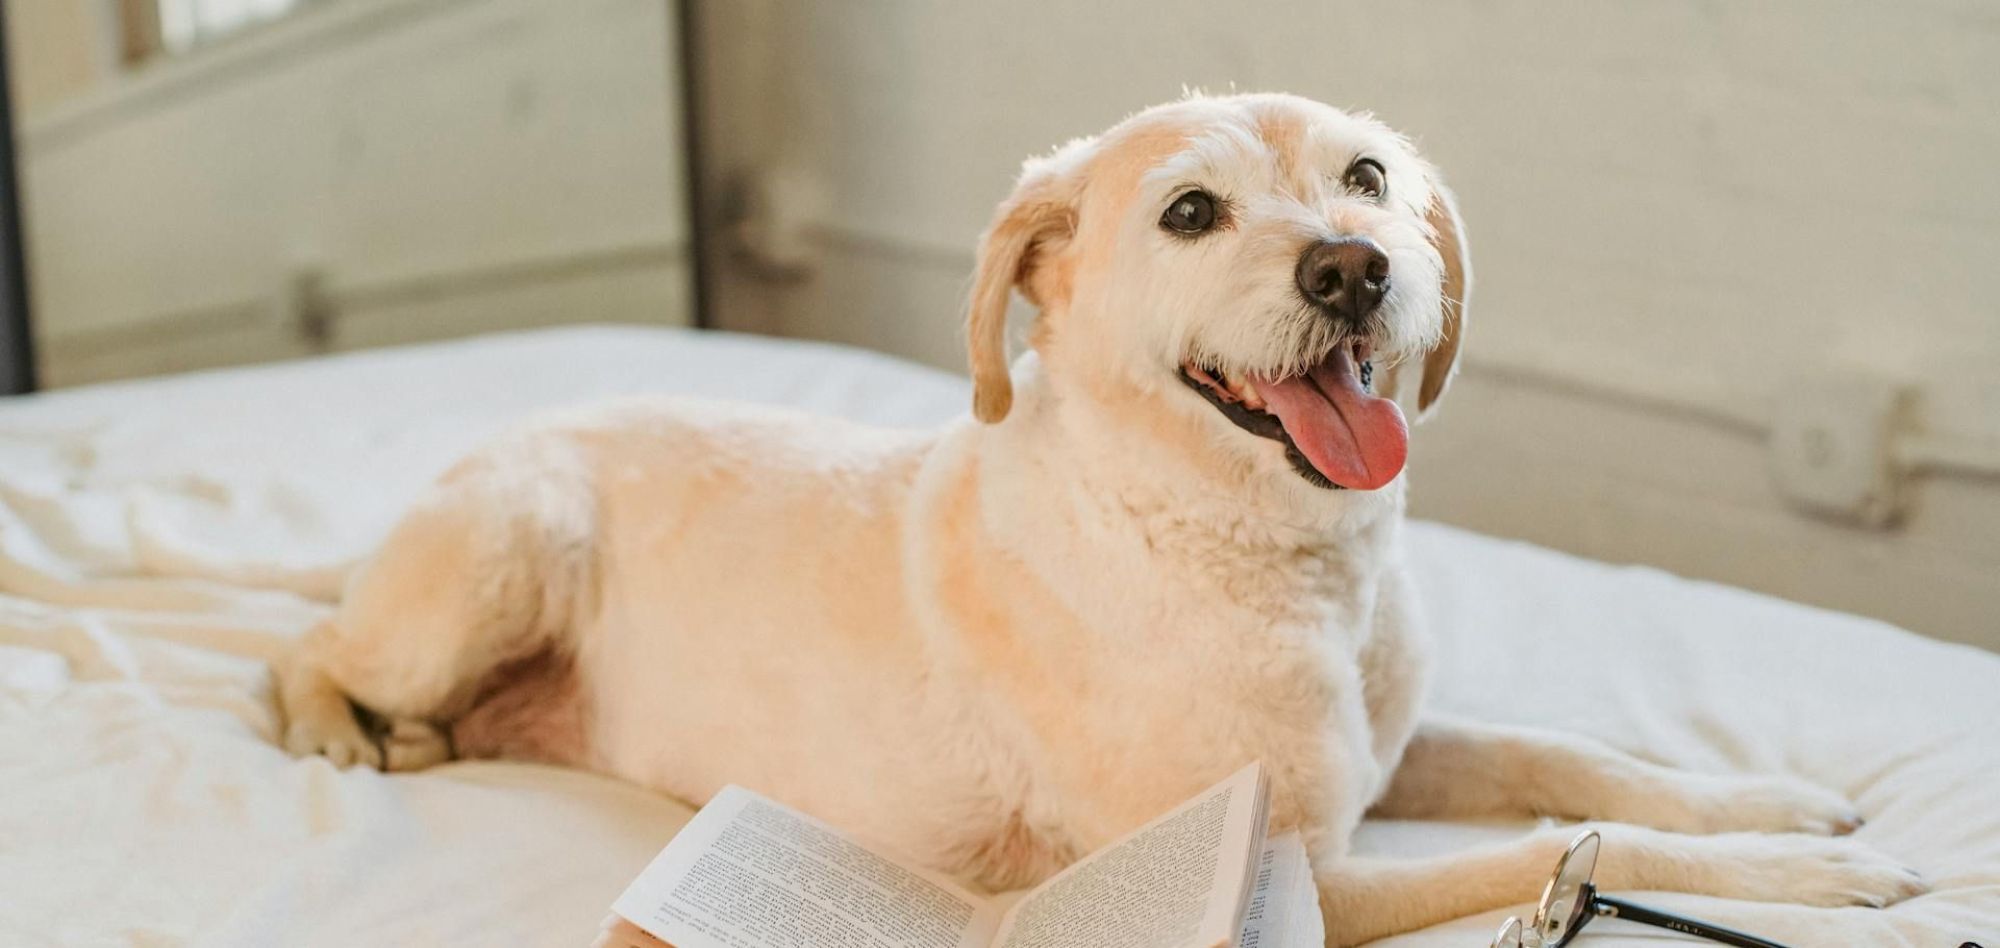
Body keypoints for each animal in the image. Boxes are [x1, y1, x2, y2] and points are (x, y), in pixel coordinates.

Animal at [282, 94, 1920, 940]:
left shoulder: (1396, 754)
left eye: (1367, 177)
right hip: (504, 552)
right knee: (305, 651)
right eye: (1190, 213)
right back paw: (336, 724)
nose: (1353, 268)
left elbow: (1572, 762)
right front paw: (1799, 880)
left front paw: (1768, 804)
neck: (1271, 561)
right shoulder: (1307, 876)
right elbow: (1556, 849)